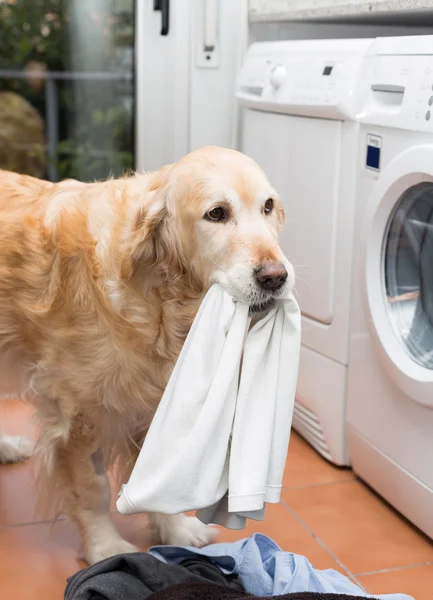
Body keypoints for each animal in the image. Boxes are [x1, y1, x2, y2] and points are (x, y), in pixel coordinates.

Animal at [0, 145, 294, 564]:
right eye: (216, 213)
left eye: (267, 206)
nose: (275, 277)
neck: (159, 302)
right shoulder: (78, 416)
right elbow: (92, 490)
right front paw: (105, 548)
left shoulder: (157, 406)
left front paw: (175, 531)